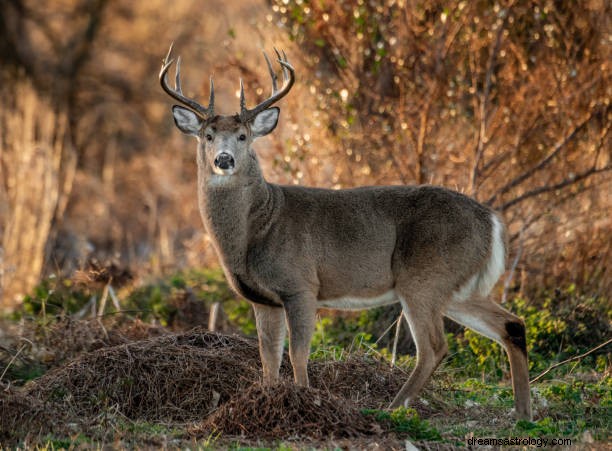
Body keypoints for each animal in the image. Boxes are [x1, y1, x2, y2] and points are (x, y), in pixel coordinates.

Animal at [160, 44, 532, 422]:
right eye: (207, 136)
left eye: (243, 136)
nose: (224, 160)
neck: (257, 228)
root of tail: (491, 219)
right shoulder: (263, 299)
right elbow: (268, 358)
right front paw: (266, 399)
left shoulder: (301, 284)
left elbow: (297, 353)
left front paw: (304, 400)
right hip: (458, 286)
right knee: (512, 325)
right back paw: (523, 414)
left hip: (424, 277)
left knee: (434, 347)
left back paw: (392, 408)